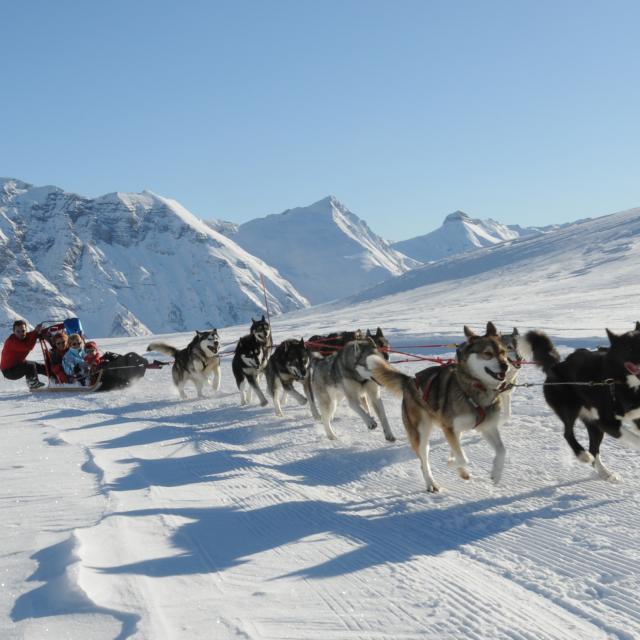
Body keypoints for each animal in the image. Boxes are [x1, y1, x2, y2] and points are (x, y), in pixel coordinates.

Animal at [376, 322, 510, 492]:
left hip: (455, 430)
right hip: (421, 434)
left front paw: (496, 473)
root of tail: (409, 381)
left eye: (503, 352)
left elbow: (502, 450)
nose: (505, 365)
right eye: (488, 353)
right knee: (424, 462)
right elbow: (463, 458)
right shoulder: (449, 428)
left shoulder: (487, 427)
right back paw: (432, 483)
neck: (475, 389)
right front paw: (452, 464)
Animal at [524, 320, 640, 480]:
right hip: (570, 409)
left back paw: (605, 473)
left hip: (592, 423)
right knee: (568, 434)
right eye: (629, 347)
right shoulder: (607, 422)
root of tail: (556, 366)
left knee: (593, 449)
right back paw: (582, 455)